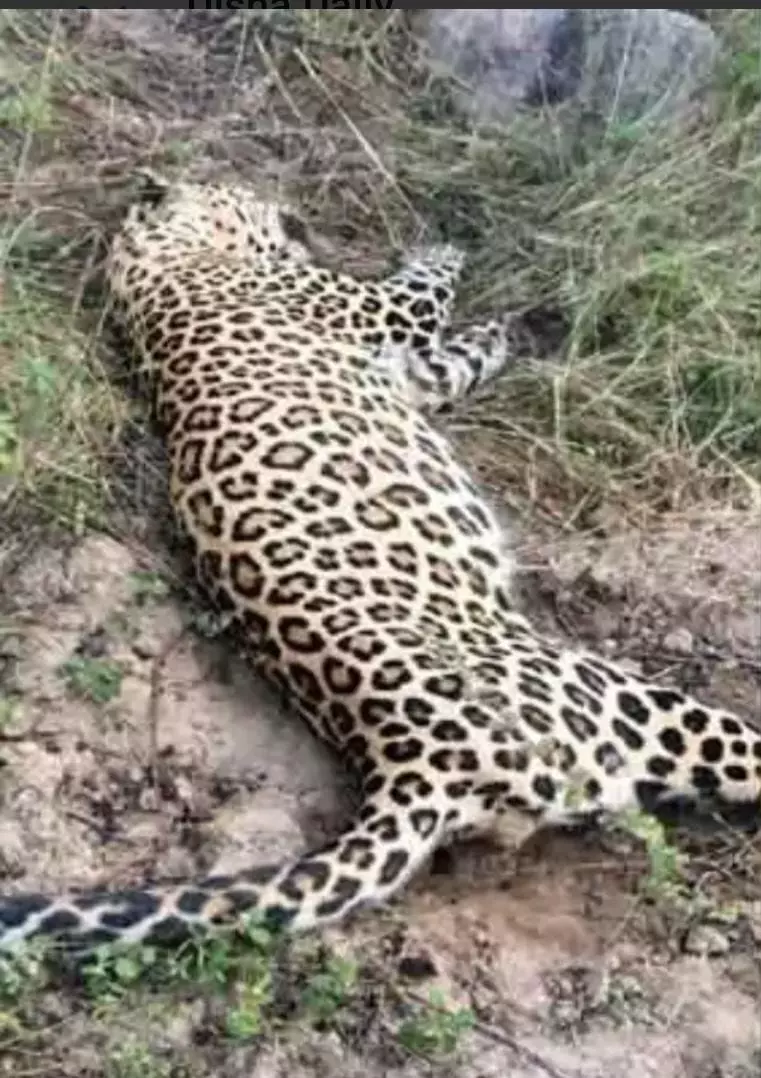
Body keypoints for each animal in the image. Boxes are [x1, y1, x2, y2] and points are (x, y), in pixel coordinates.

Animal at [0, 171, 758, 954]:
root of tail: (407, 760)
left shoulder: (416, 371)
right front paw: (447, 245)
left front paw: (513, 327)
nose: (287, 206)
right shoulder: (373, 310)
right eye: (240, 191)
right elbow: (425, 286)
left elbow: (463, 354)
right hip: (625, 701)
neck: (150, 262)